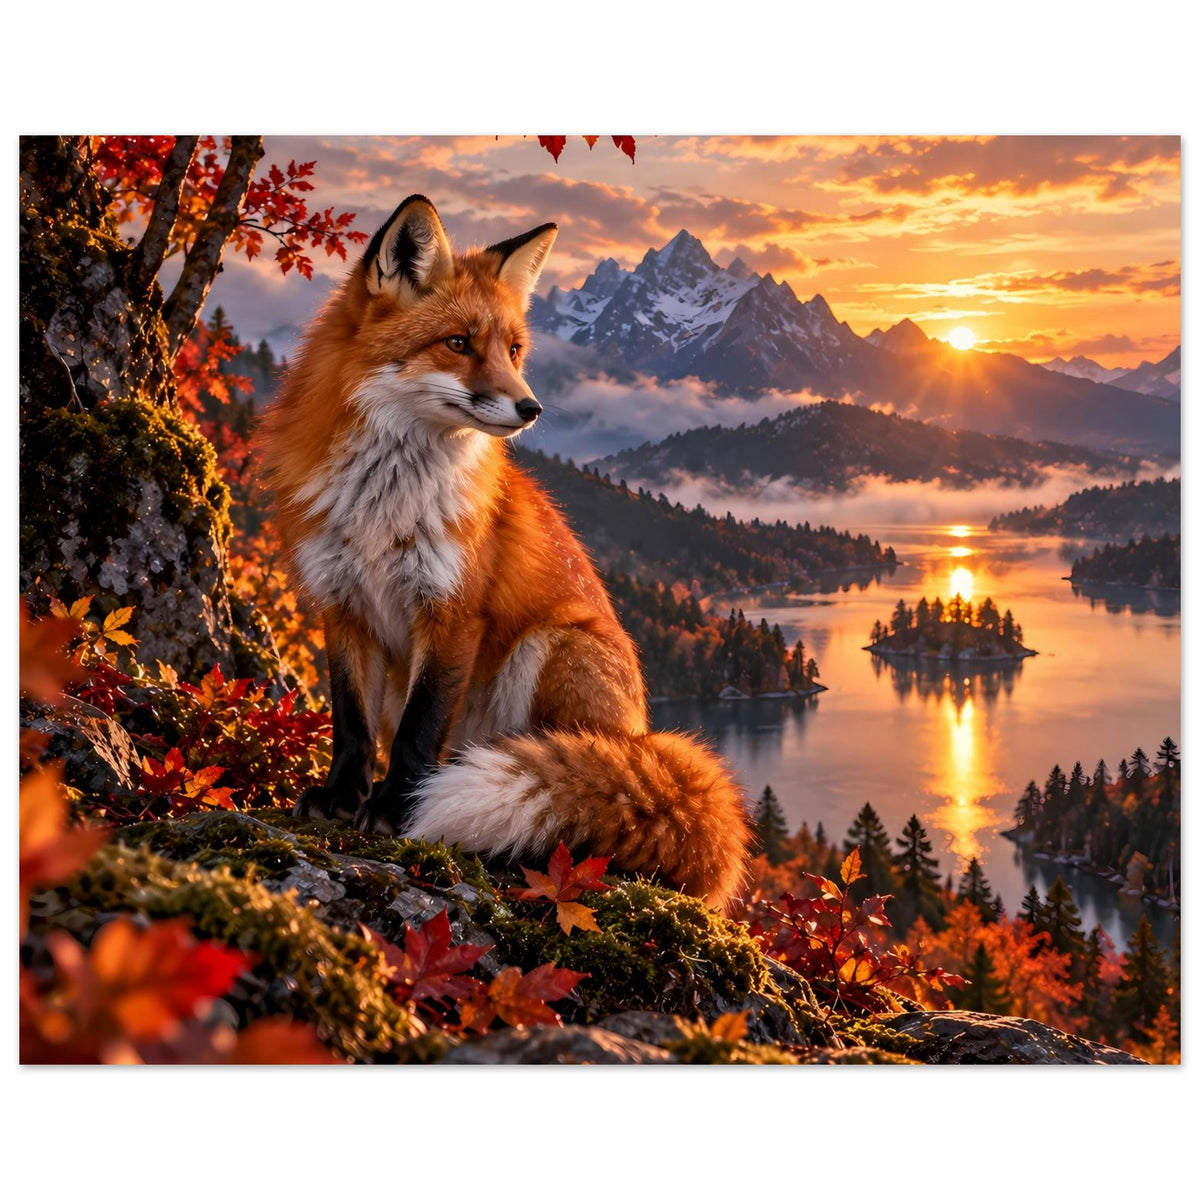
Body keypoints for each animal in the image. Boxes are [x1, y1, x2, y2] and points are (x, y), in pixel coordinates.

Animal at [259, 195, 752, 910]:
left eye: (514, 349)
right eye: (459, 343)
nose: (531, 407)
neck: (384, 505)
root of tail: (642, 735)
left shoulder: (453, 610)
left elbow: (418, 732)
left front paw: (396, 811)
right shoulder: (342, 603)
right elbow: (351, 725)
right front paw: (341, 798)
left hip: (550, 646)